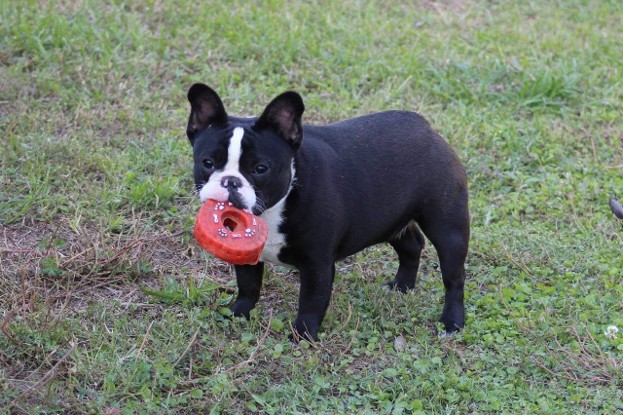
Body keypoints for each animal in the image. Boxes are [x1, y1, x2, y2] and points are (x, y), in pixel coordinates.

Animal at [188, 83, 470, 342]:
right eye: (207, 163)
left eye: (260, 168)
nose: (230, 181)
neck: (273, 209)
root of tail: (426, 128)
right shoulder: (246, 254)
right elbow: (248, 285)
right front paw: (238, 313)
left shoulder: (317, 263)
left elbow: (311, 301)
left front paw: (302, 335)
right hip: (389, 220)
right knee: (411, 245)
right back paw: (401, 286)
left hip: (447, 228)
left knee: (453, 278)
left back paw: (451, 322)